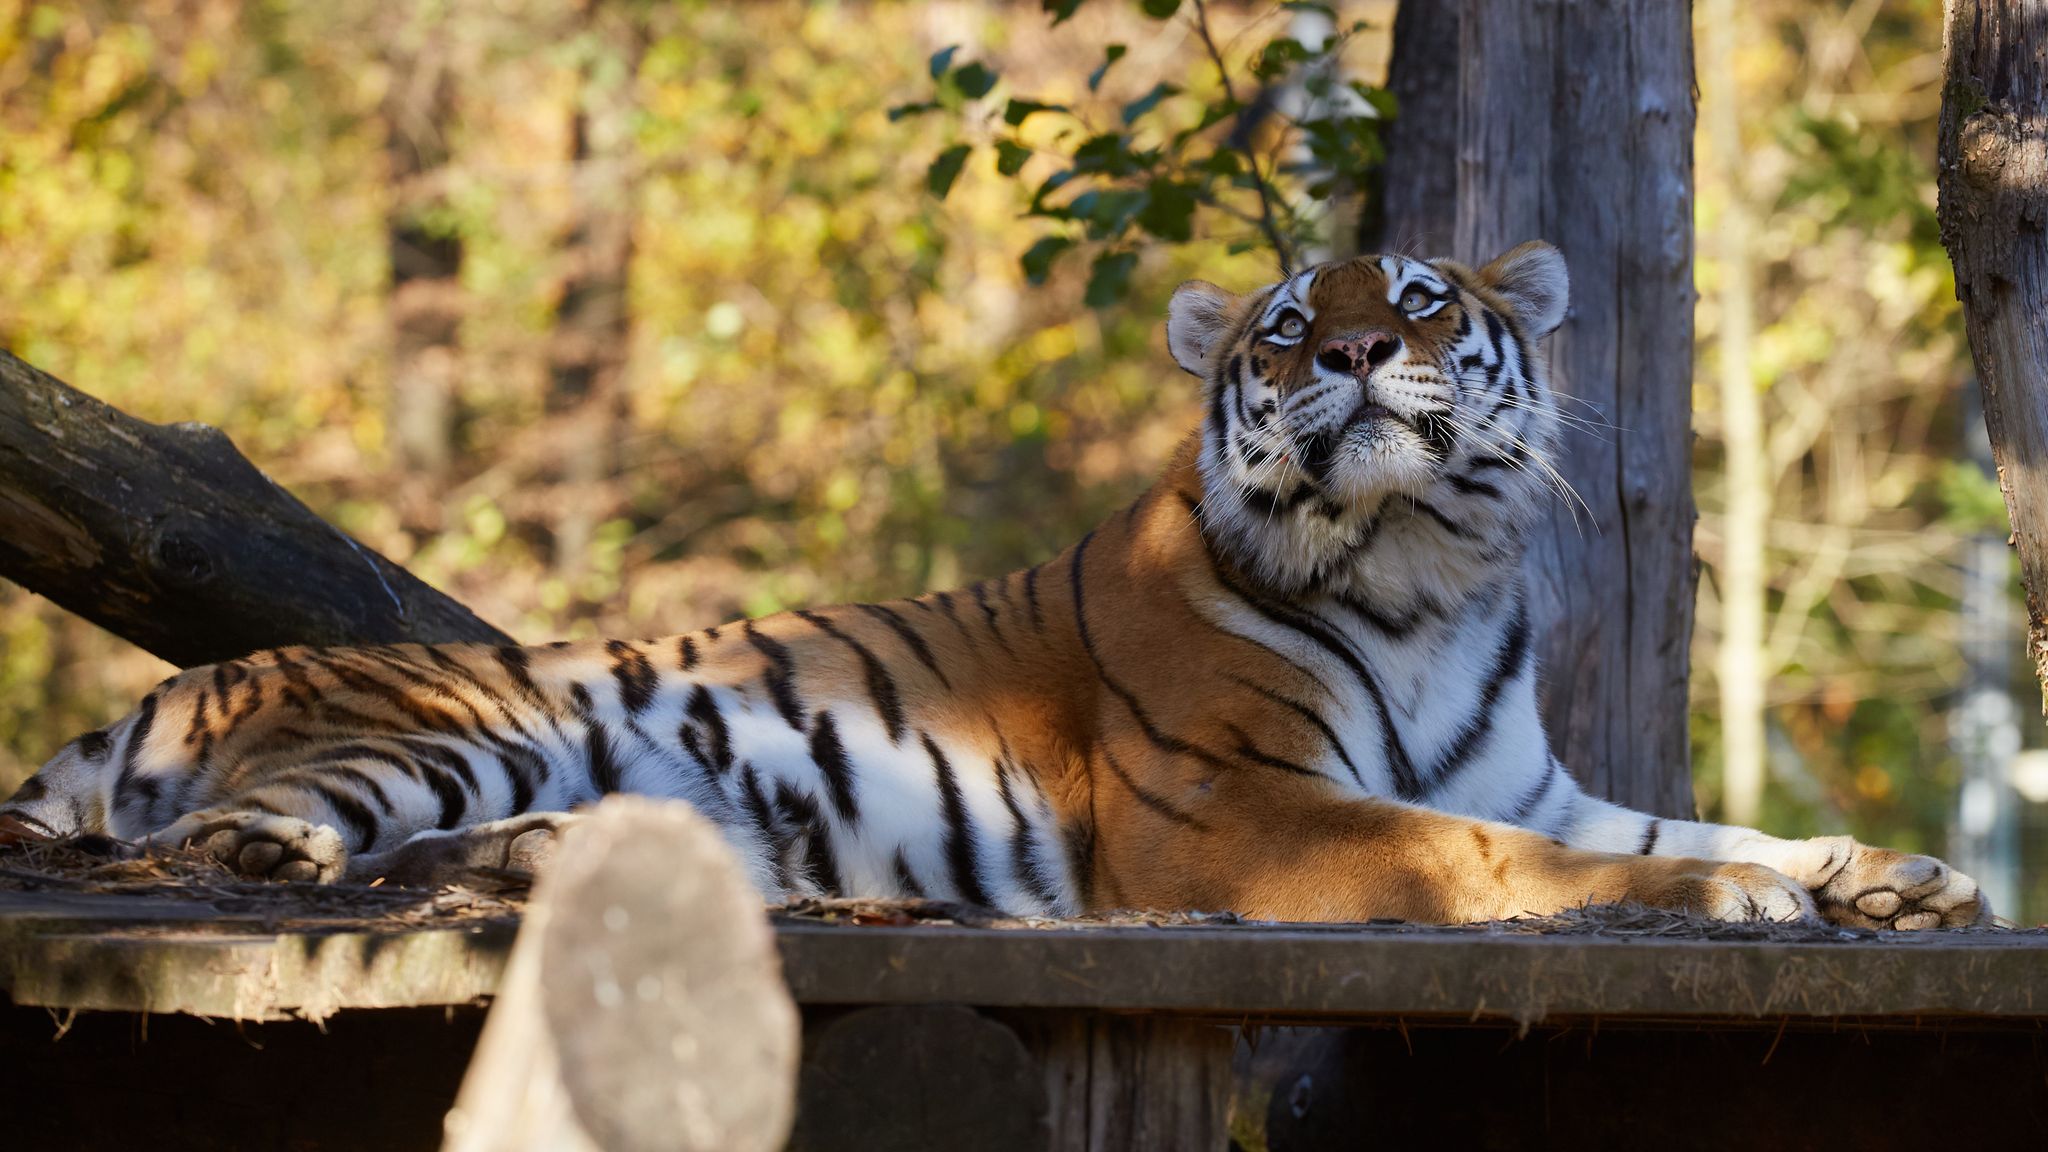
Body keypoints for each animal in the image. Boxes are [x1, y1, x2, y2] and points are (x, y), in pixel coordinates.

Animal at [0, 240, 1988, 930]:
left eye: (1423, 303)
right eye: (1290, 329)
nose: (1355, 354)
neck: (1425, 574)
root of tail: (187, 680)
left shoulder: (1536, 774)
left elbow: (1674, 823)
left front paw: (1881, 875)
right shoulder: (1241, 812)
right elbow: (1509, 865)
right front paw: (1739, 907)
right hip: (449, 721)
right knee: (234, 844)